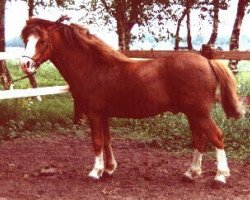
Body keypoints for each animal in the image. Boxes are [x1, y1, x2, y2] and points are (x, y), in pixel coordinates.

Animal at [20, 16, 242, 184]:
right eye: (26, 40)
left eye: (41, 41)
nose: (25, 65)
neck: (93, 67)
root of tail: (207, 61)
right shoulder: (103, 115)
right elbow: (107, 141)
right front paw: (108, 169)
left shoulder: (94, 114)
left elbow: (97, 142)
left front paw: (95, 172)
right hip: (192, 114)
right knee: (200, 139)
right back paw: (190, 173)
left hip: (199, 113)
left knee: (216, 137)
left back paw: (220, 177)